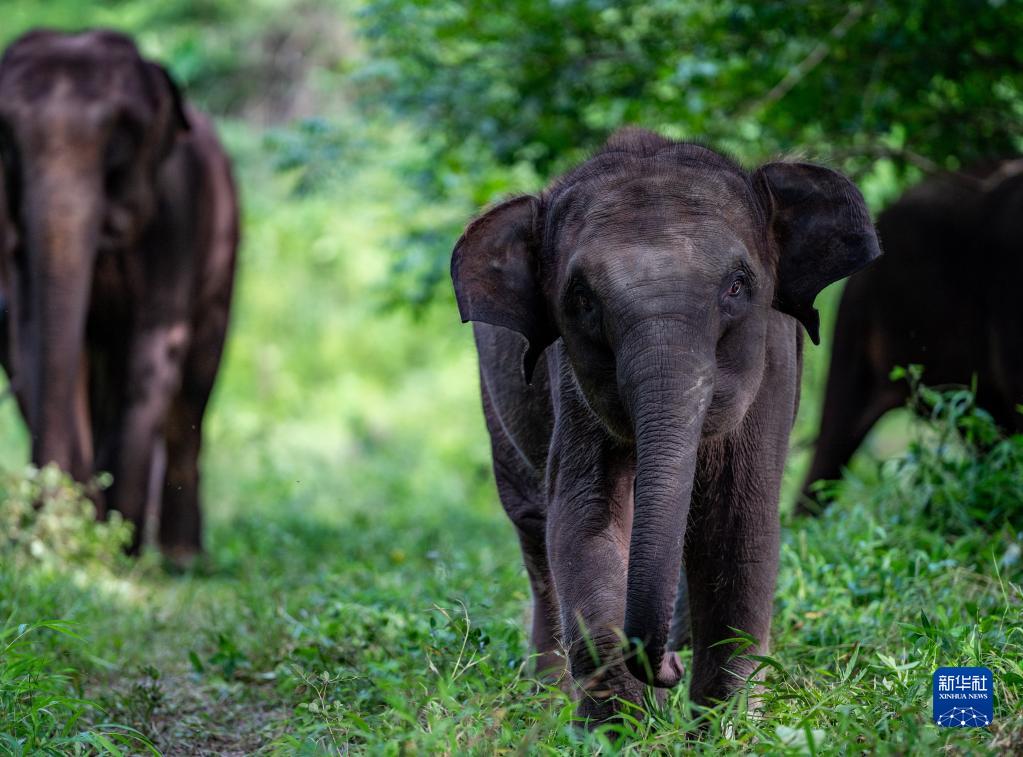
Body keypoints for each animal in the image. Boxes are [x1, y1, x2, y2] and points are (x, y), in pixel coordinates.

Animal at [0, 29, 238, 560]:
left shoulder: (176, 214)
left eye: (121, 134)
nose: (41, 531)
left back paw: (178, 556)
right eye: (6, 136)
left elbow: (154, 347)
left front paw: (116, 541)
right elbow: (33, 343)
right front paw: (81, 535)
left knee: (193, 389)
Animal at [452, 128, 883, 720]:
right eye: (581, 299)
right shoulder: (573, 385)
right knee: (534, 529)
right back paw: (544, 702)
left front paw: (726, 728)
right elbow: (585, 521)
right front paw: (618, 728)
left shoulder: (771, 365)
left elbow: (738, 528)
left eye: (737, 286)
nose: (669, 668)